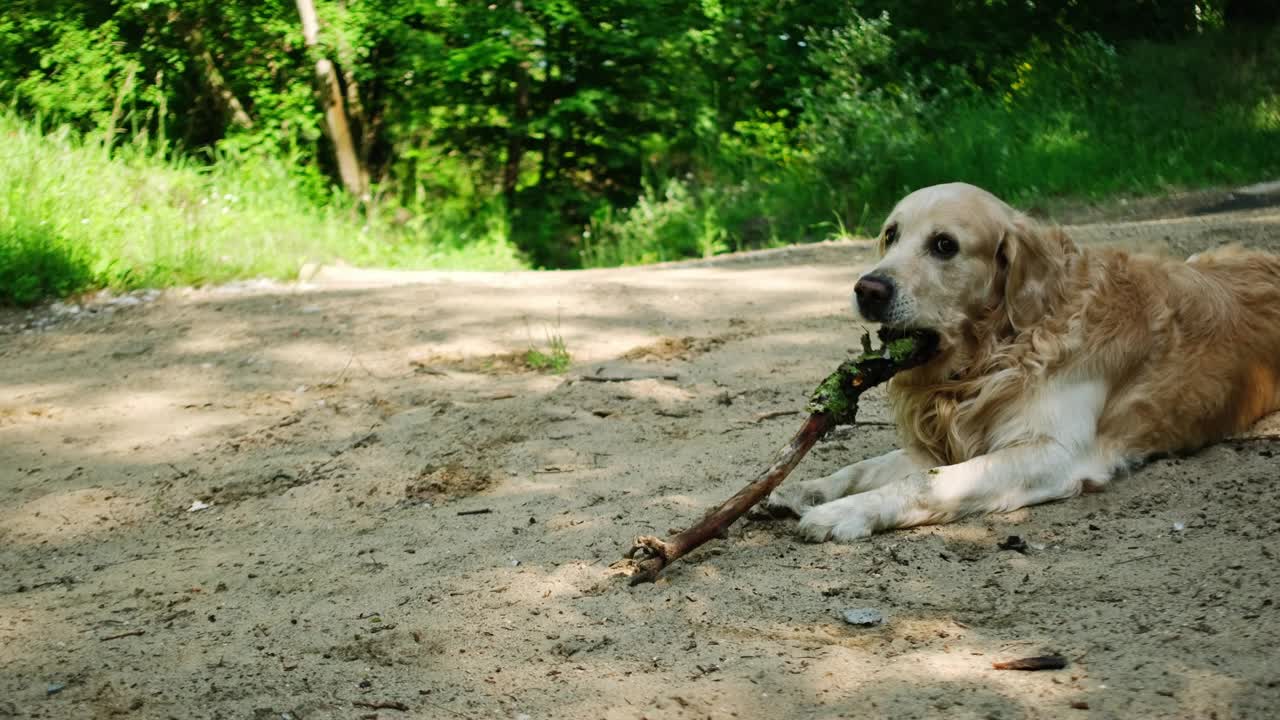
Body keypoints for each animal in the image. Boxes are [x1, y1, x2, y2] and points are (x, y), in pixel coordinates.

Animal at [762, 180, 1280, 538]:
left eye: (945, 245)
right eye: (891, 235)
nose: (867, 289)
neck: (1004, 346)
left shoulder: (1055, 452)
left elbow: (927, 482)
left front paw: (841, 512)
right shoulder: (949, 441)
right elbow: (870, 467)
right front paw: (808, 489)